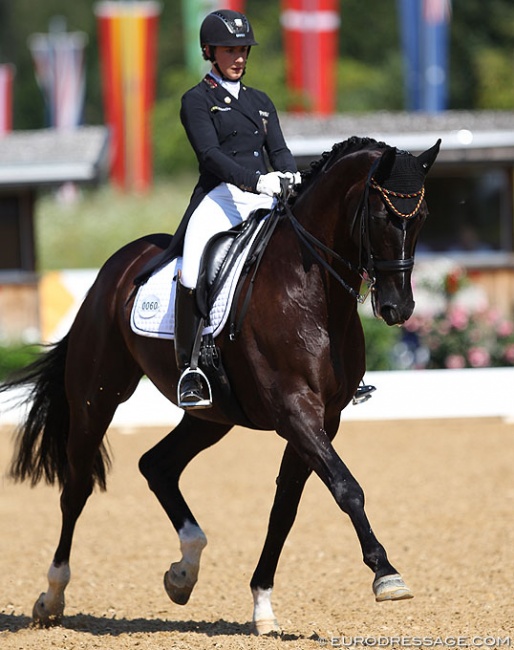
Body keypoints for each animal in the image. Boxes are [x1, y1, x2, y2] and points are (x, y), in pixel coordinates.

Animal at [2, 134, 438, 632]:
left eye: (422, 216)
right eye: (382, 216)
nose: (397, 308)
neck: (313, 291)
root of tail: (114, 268)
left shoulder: (321, 419)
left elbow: (284, 509)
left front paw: (263, 606)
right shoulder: (295, 411)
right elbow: (347, 489)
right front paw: (386, 574)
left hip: (211, 415)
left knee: (157, 465)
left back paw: (184, 572)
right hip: (96, 398)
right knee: (76, 487)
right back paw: (52, 597)